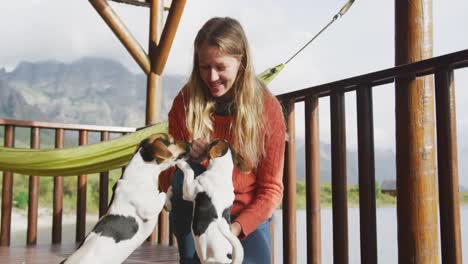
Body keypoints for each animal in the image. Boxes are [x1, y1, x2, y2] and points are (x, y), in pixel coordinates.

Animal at [61, 134, 190, 264]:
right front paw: (169, 196)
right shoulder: (148, 209)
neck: (141, 175)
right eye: (173, 141)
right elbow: (162, 193)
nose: (190, 143)